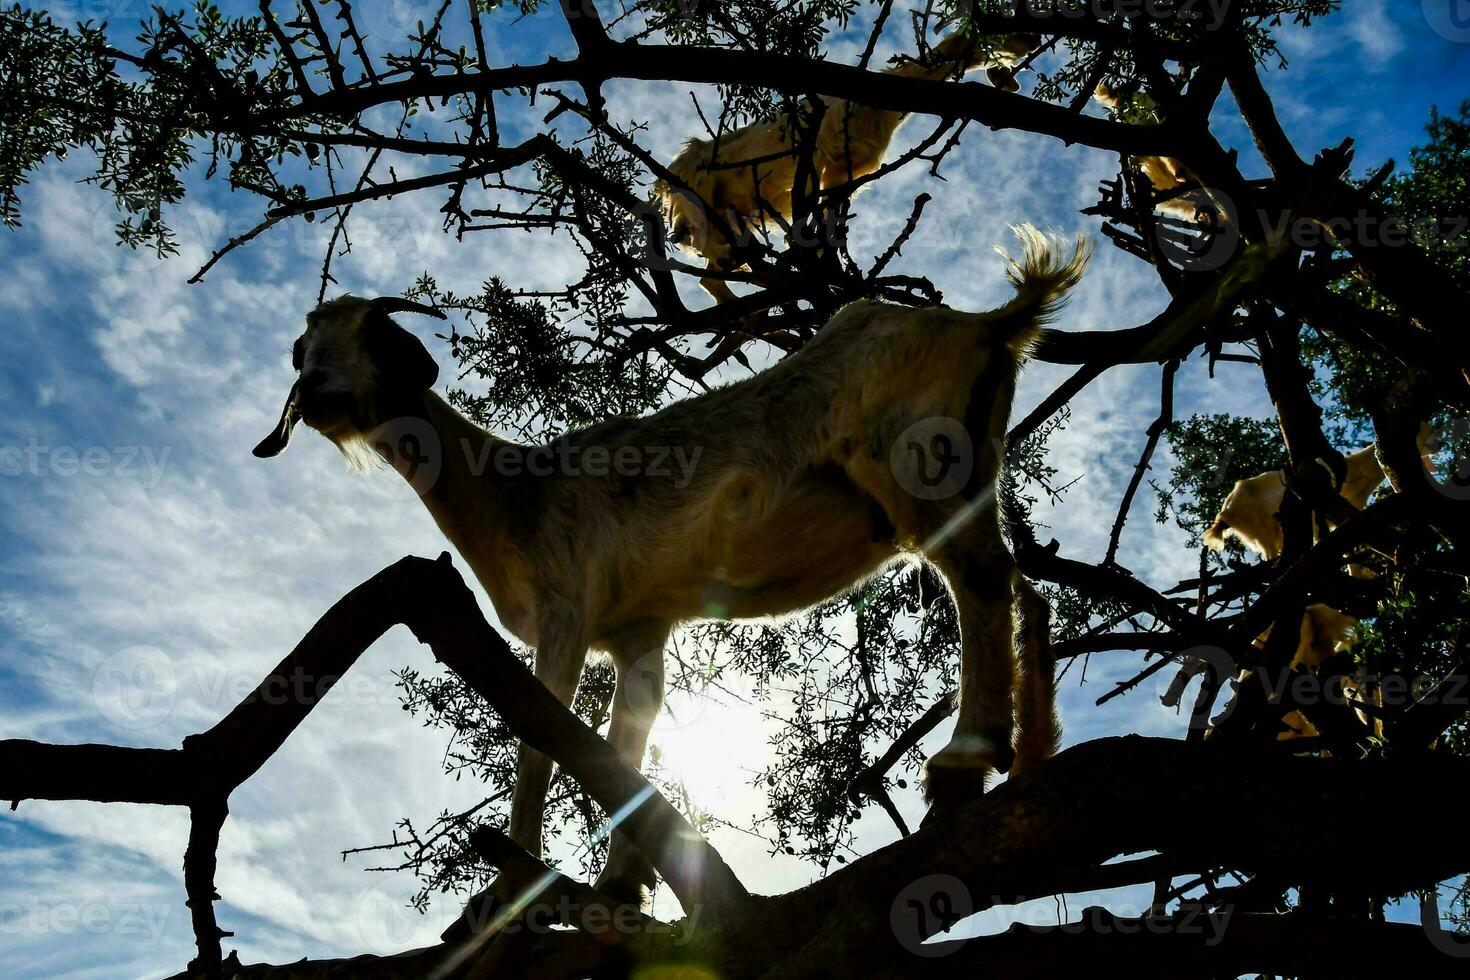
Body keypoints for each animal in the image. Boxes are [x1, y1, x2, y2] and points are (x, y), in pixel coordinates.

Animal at [249, 226, 1081, 910]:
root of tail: (987, 325)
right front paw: (620, 885)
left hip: (913, 461)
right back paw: (1032, 758)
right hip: (972, 471)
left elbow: (543, 739)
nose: (319, 394)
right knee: (1025, 587)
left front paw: (508, 886)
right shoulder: (638, 629)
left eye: (375, 336)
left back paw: (966, 764)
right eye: (302, 353)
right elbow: (626, 744)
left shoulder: (566, 607)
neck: (513, 492)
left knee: (982, 579)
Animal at [655, 31, 1046, 302]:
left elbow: (832, 215)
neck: (878, 107)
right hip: (701, 207)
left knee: (713, 272)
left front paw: (832, 266)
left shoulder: (848, 171)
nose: (1034, 40)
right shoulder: (820, 156)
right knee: (713, 265)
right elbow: (810, 212)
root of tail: (676, 170)